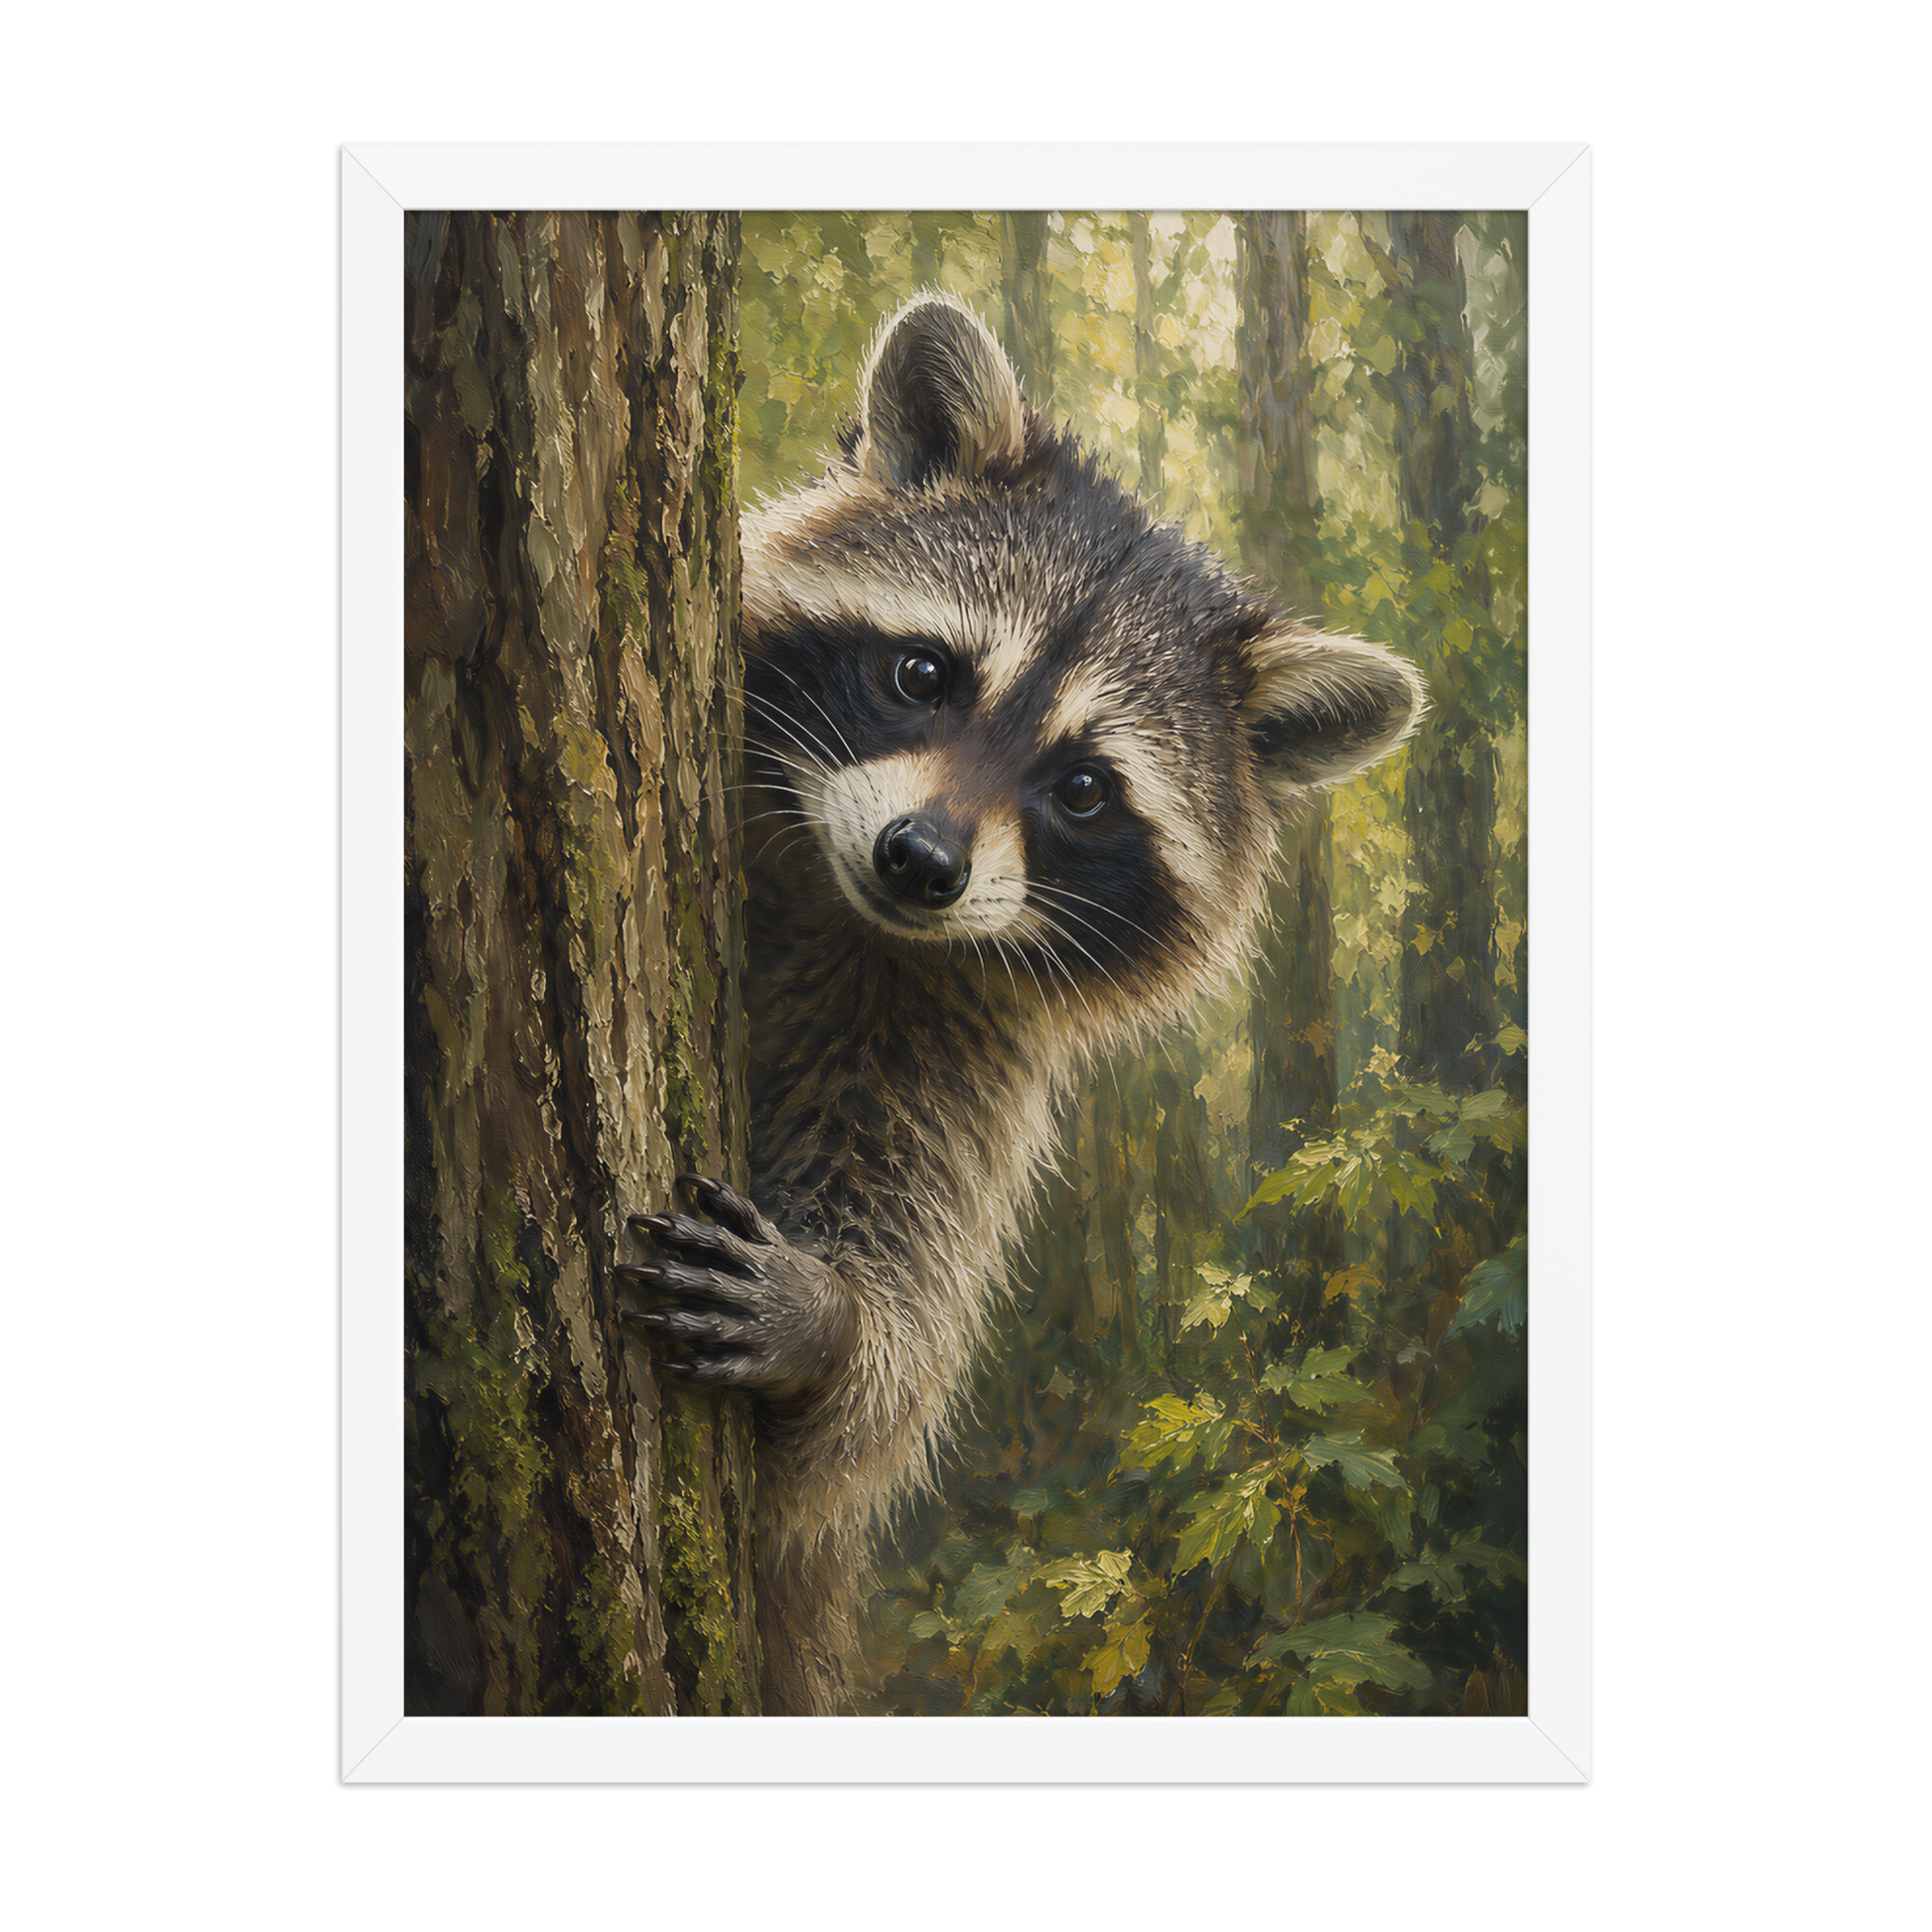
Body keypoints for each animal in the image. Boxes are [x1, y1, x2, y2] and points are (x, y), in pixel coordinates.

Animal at [618, 289, 1424, 1715]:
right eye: (922, 674)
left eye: (1085, 789)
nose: (920, 862)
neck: (845, 912)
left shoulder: (954, 1053)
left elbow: (864, 1412)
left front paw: (835, 1325)